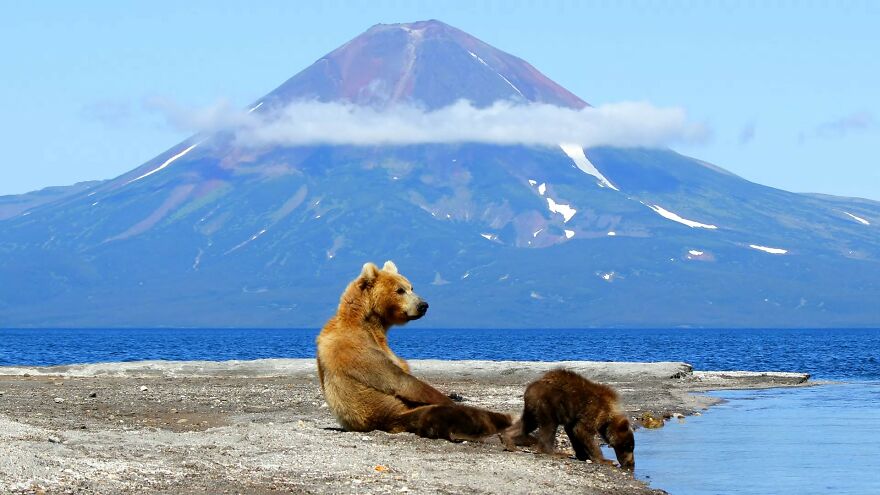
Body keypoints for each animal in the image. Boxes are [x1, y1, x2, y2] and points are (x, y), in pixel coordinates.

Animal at [316, 260, 511, 441]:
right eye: (400, 290)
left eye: (411, 287)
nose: (423, 305)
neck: (370, 324)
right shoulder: (358, 349)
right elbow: (401, 381)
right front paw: (451, 399)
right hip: (391, 412)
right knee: (441, 414)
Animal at [502, 369, 635, 470]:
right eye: (628, 446)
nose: (631, 464)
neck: (608, 416)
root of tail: (529, 389)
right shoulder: (593, 410)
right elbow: (583, 430)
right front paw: (605, 460)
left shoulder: (575, 418)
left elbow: (573, 431)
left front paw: (583, 455)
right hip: (548, 403)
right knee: (549, 426)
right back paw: (556, 452)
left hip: (532, 408)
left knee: (526, 424)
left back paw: (508, 440)